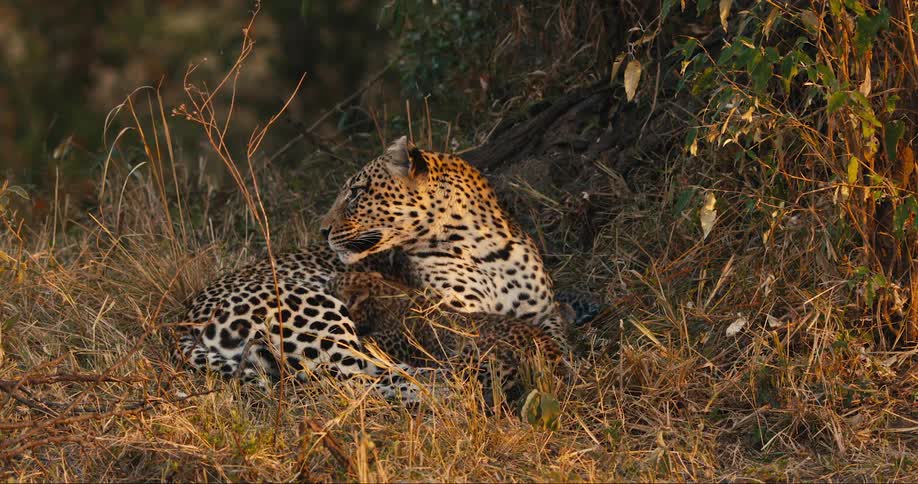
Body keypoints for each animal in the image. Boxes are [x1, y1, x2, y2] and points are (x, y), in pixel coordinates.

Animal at [320, 136, 569, 348]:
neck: (484, 251)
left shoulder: (547, 313)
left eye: (355, 193)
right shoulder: (454, 314)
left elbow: (559, 342)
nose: (322, 231)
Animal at [327, 271, 572, 396]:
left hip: (471, 357)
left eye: (332, 285)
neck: (382, 292)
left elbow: (365, 341)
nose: (327, 281)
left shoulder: (394, 341)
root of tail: (554, 360)